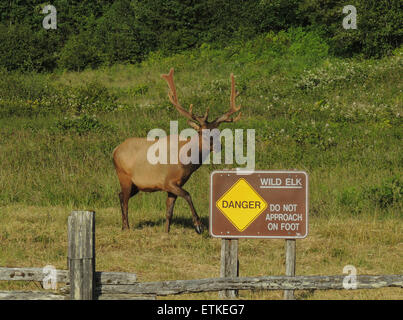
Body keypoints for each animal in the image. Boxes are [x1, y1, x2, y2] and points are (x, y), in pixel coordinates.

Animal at [112, 68, 241, 232]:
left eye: (218, 132)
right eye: (202, 132)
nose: (219, 146)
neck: (186, 162)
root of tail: (114, 150)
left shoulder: (176, 185)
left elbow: (169, 212)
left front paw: (166, 232)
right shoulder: (168, 182)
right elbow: (188, 195)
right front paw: (198, 225)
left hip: (136, 184)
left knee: (120, 195)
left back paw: (123, 226)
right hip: (124, 176)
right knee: (125, 199)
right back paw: (127, 227)